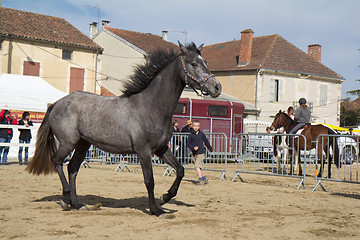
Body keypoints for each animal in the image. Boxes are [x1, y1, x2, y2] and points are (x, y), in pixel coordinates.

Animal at [26, 42, 222, 218]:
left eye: (205, 62)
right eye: (194, 63)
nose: (217, 87)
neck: (151, 107)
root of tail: (57, 103)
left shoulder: (161, 149)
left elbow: (180, 170)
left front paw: (165, 198)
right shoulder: (144, 151)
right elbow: (149, 181)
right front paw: (156, 210)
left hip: (83, 144)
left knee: (73, 168)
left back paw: (79, 204)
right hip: (68, 142)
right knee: (57, 161)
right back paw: (66, 199)